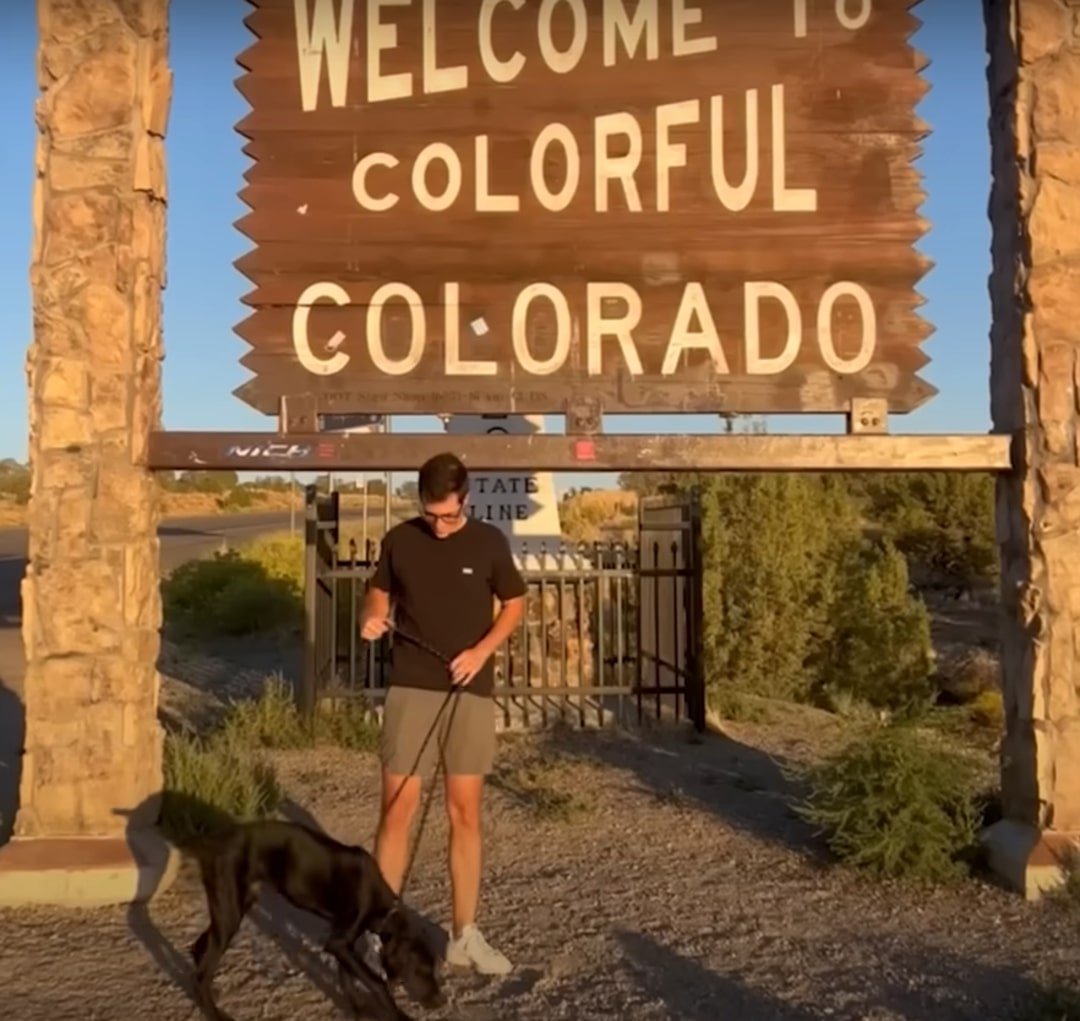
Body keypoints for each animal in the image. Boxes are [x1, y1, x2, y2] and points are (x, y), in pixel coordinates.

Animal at [186, 821, 442, 1019]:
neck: (382, 907)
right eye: (421, 969)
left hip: (234, 909)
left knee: (200, 949)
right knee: (203, 969)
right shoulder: (339, 943)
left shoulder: (342, 942)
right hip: (229, 912)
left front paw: (356, 1008)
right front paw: (398, 1015)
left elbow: (346, 977)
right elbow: (376, 983)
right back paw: (214, 1012)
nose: (439, 1000)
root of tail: (213, 842)